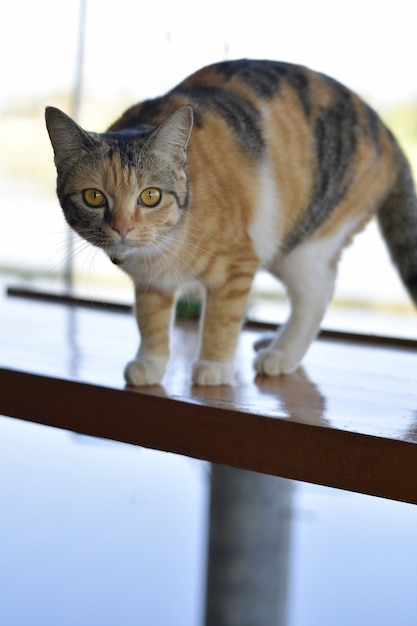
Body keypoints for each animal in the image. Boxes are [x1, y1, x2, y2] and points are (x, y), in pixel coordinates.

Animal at [45, 58, 416, 386]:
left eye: (150, 196)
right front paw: (150, 364)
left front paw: (213, 366)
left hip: (304, 242)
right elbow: (151, 320)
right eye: (94, 197)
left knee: (317, 294)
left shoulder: (237, 263)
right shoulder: (152, 282)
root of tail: (386, 131)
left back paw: (281, 354)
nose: (122, 228)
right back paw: (271, 341)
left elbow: (221, 319)